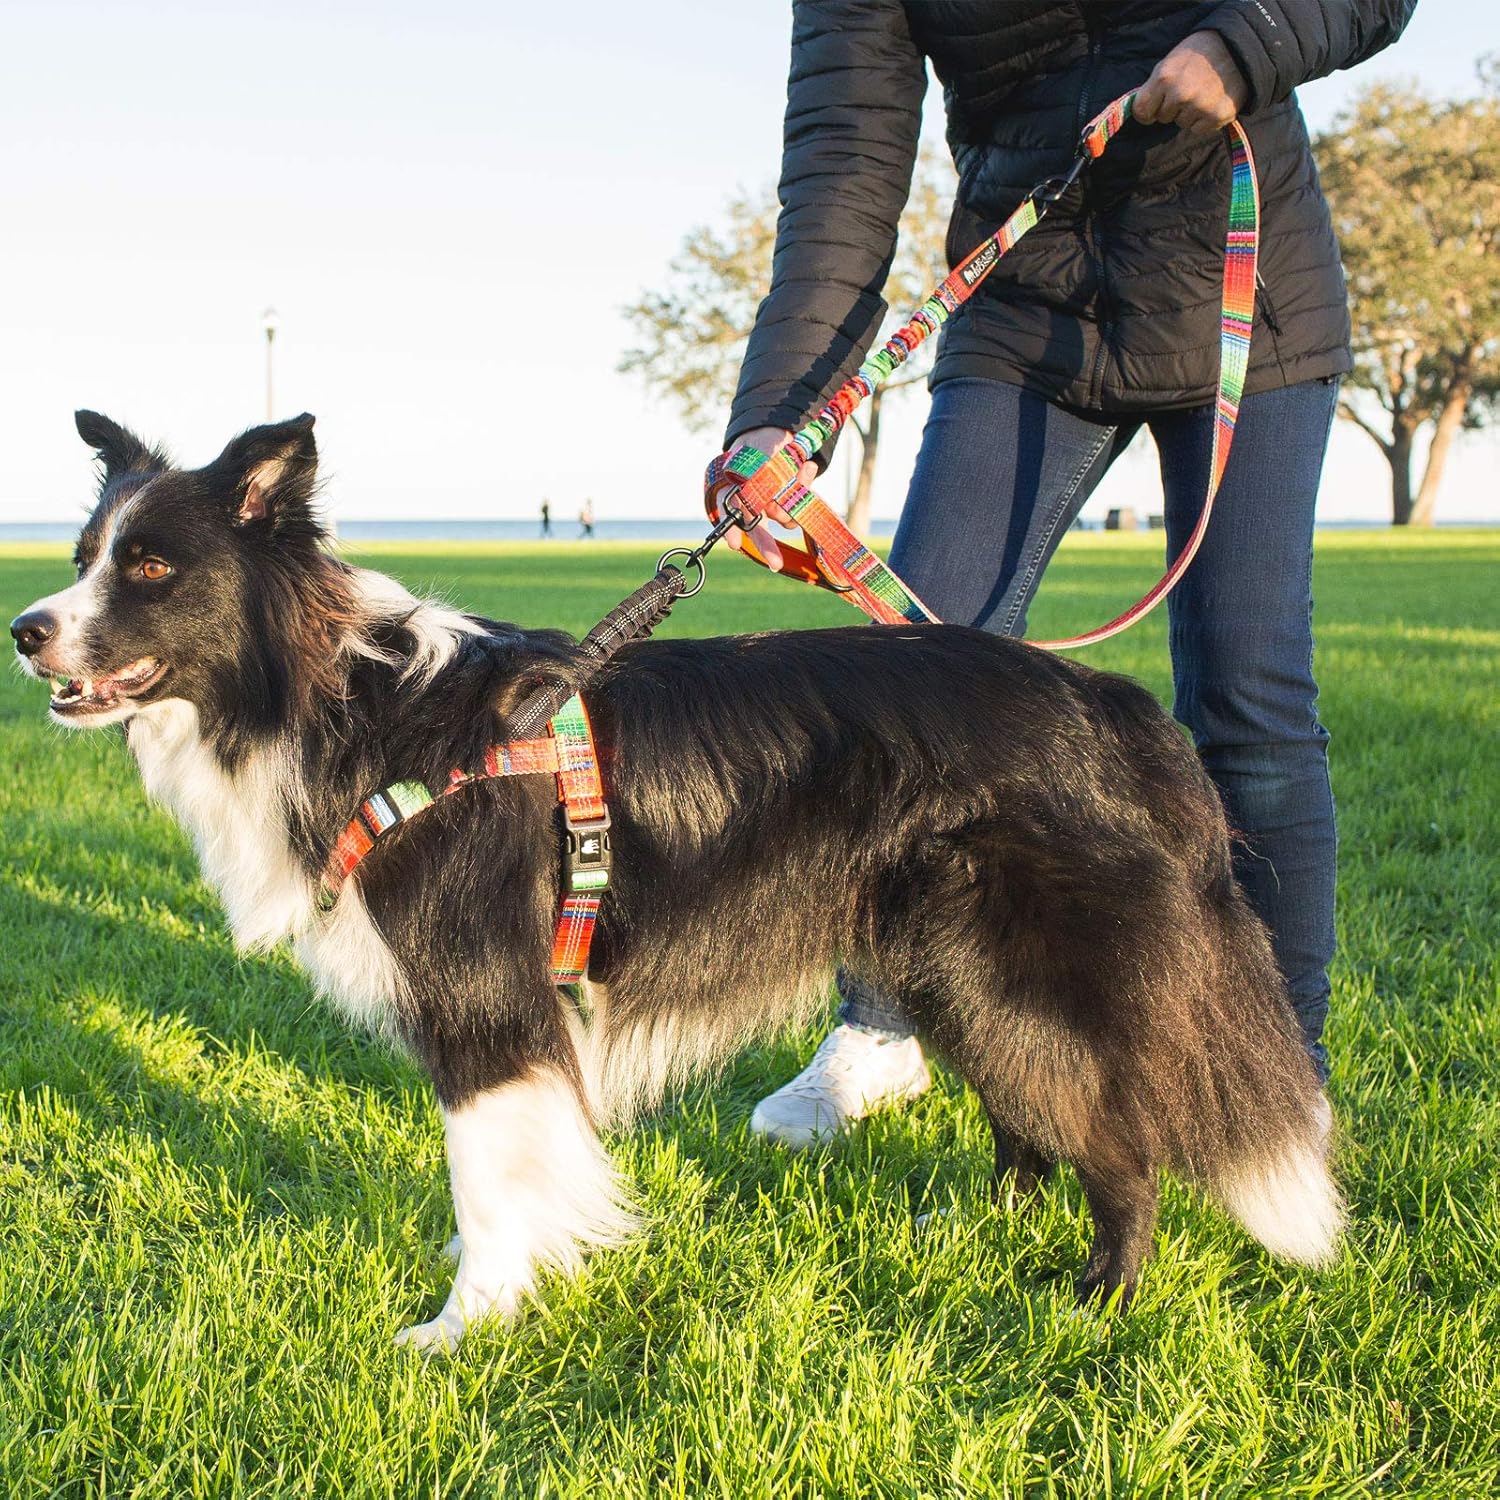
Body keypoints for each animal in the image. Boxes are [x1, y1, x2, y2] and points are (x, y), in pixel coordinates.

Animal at [11, 417, 1344, 1356]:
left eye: (152, 567)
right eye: (83, 560)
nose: (25, 629)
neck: (338, 706)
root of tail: (1112, 702)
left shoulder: (484, 996)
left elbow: (485, 1168)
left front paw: (464, 1325)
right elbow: (513, 1162)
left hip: (1022, 961)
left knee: (1122, 1140)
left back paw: (1094, 1300)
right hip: (944, 958)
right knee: (1027, 1113)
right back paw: (972, 1232)